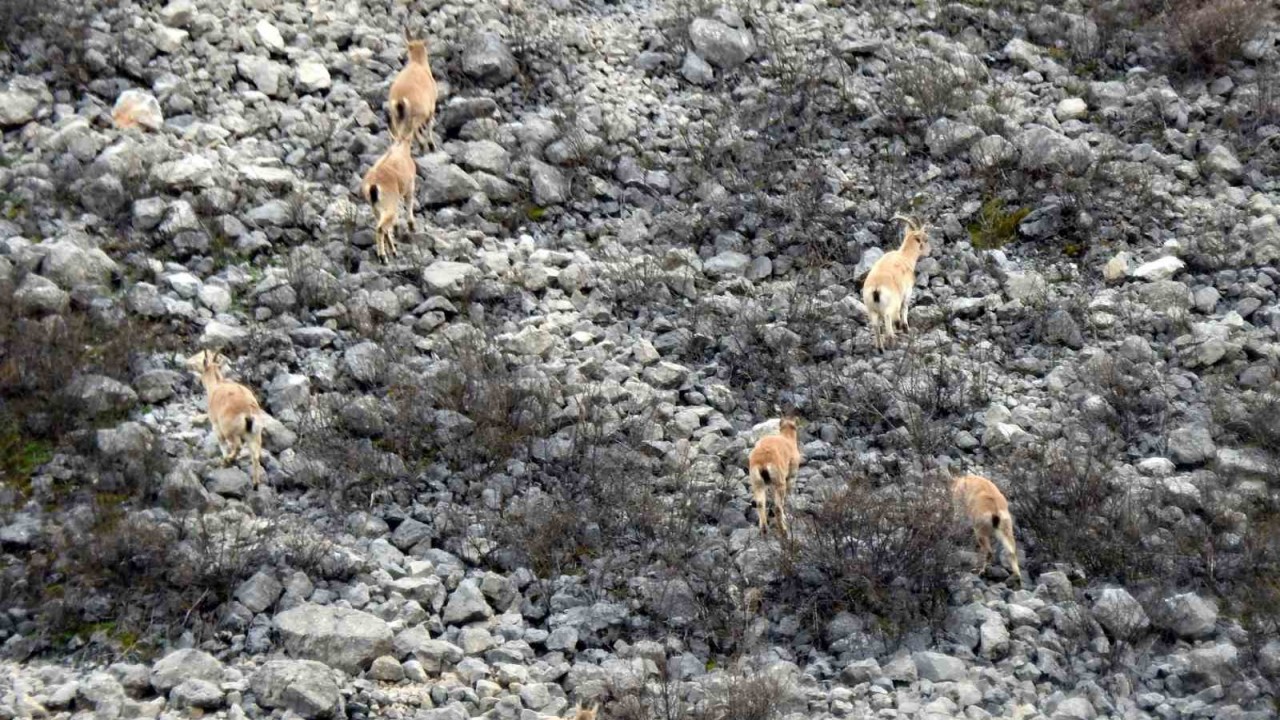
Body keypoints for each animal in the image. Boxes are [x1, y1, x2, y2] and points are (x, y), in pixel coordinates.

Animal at [185, 348, 264, 486]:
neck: (216, 385)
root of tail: (248, 411)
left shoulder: (216, 425)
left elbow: (221, 443)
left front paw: (224, 459)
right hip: (255, 435)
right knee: (255, 456)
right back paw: (255, 483)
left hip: (230, 432)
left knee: (237, 446)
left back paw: (229, 459)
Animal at [860, 215, 931, 351]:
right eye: (925, 239)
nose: (929, 251)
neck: (905, 257)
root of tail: (876, 288)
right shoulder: (907, 292)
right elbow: (905, 308)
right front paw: (905, 327)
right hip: (889, 307)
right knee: (888, 319)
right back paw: (891, 341)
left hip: (871, 309)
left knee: (876, 325)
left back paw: (880, 347)